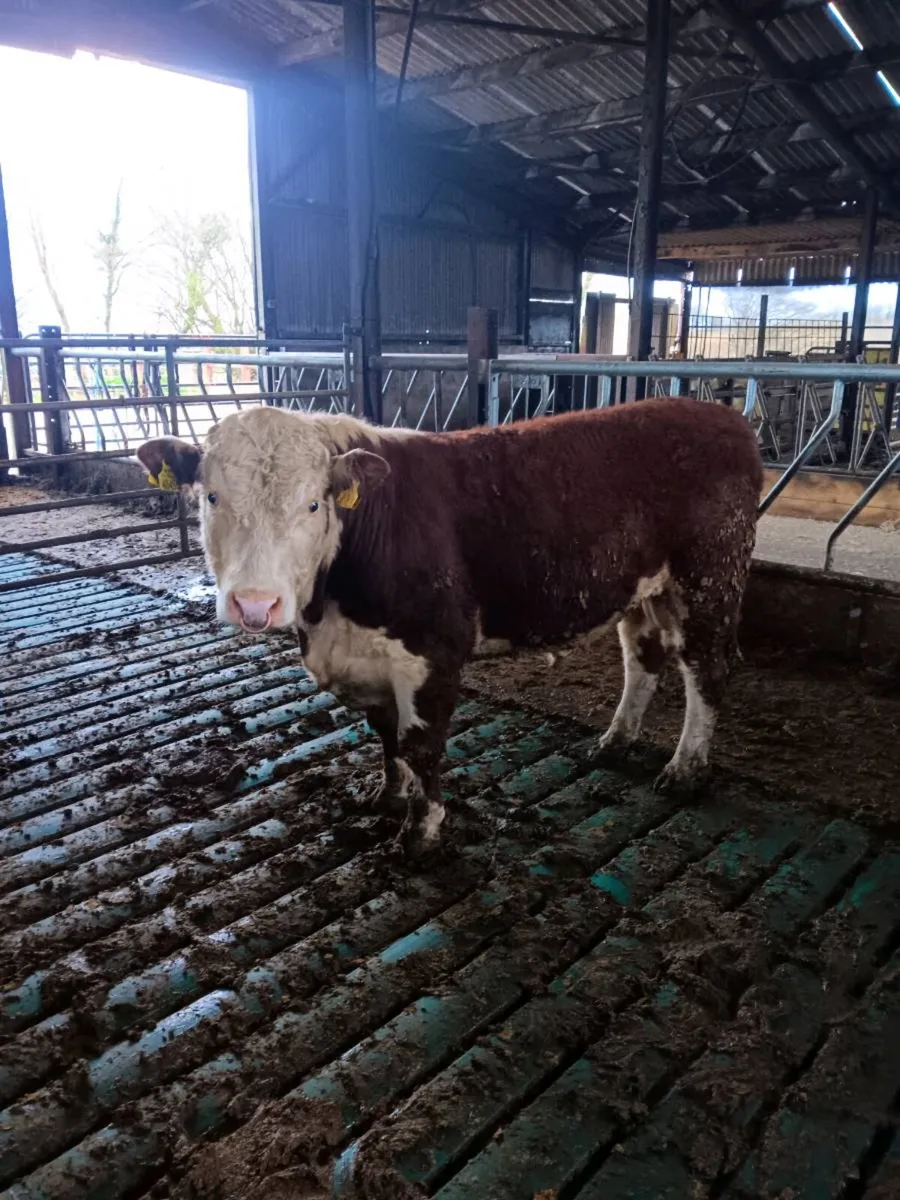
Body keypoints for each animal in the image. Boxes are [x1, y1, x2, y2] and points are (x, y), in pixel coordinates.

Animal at [136, 398, 763, 854]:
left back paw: (686, 768)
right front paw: (385, 797)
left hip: (711, 574)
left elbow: (422, 746)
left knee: (706, 668)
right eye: (211, 497)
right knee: (643, 656)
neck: (330, 613)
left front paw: (420, 833)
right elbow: (386, 736)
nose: (254, 603)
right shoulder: (368, 657)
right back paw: (615, 741)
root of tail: (719, 413)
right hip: (643, 587)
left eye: (314, 504)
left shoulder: (433, 652)